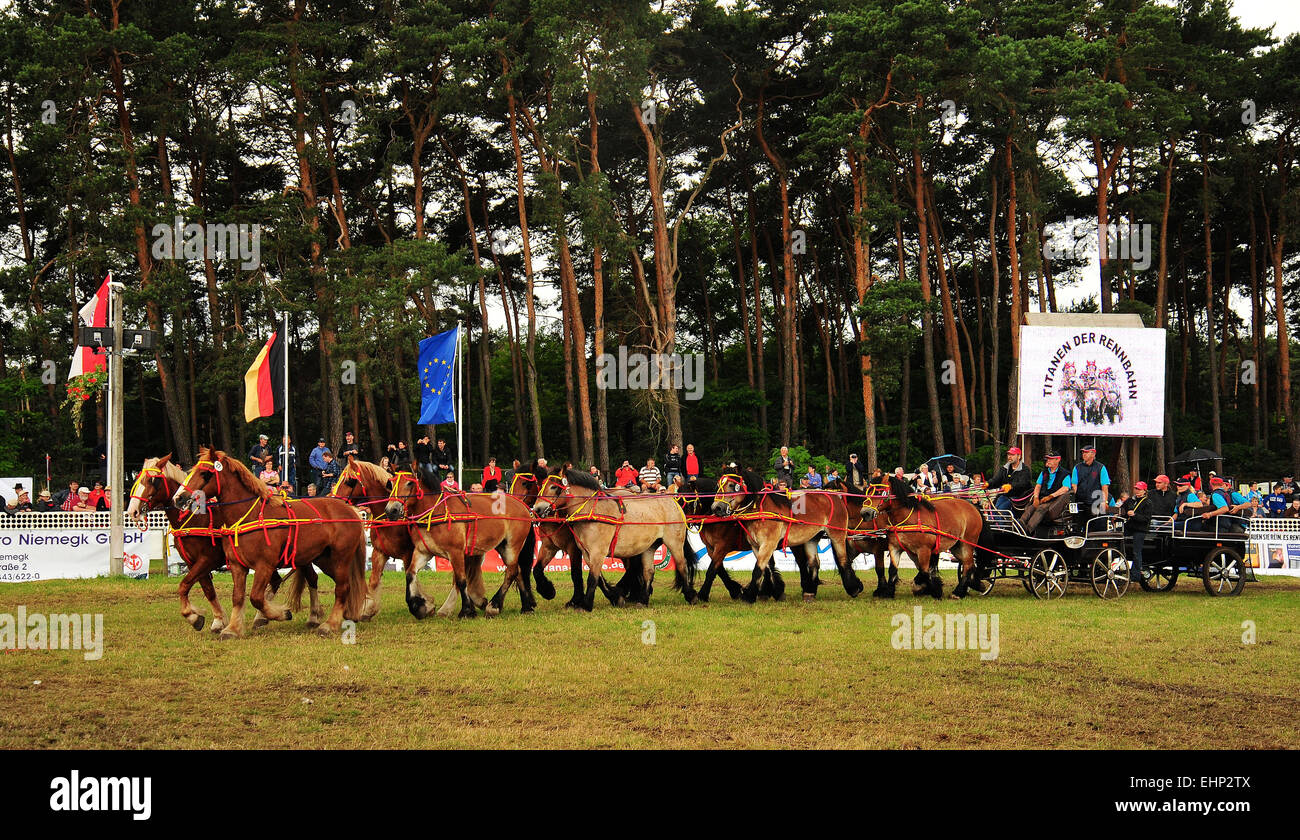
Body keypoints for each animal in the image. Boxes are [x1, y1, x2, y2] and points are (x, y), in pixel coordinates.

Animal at [171, 447, 366, 639]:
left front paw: (280, 614)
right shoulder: (237, 565)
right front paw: (233, 628)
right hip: (322, 559)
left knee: (342, 588)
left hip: (340, 558)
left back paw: (330, 625)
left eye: (205, 473)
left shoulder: (264, 565)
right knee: (335, 583)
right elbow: (238, 596)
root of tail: (349, 509)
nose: (178, 498)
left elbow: (256, 597)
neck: (249, 515)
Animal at [382, 470, 535, 621]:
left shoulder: (456, 552)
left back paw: (494, 606)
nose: (391, 510)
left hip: (512, 545)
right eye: (391, 483)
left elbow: (461, 580)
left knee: (512, 572)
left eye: (409, 483)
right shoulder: (423, 551)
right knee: (517, 571)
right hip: (502, 546)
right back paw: (526, 607)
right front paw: (418, 607)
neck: (436, 511)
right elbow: (410, 574)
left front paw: (467, 611)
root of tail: (523, 506)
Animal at [527, 468, 696, 611]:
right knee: (649, 571)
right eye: (540, 485)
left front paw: (586, 605)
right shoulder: (586, 553)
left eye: (553, 487)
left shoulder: (597, 552)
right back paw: (642, 600)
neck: (592, 511)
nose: (537, 509)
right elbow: (598, 578)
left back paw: (691, 596)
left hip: (674, 543)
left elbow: (592, 579)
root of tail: (674, 502)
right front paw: (615, 597)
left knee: (682, 566)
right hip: (650, 546)